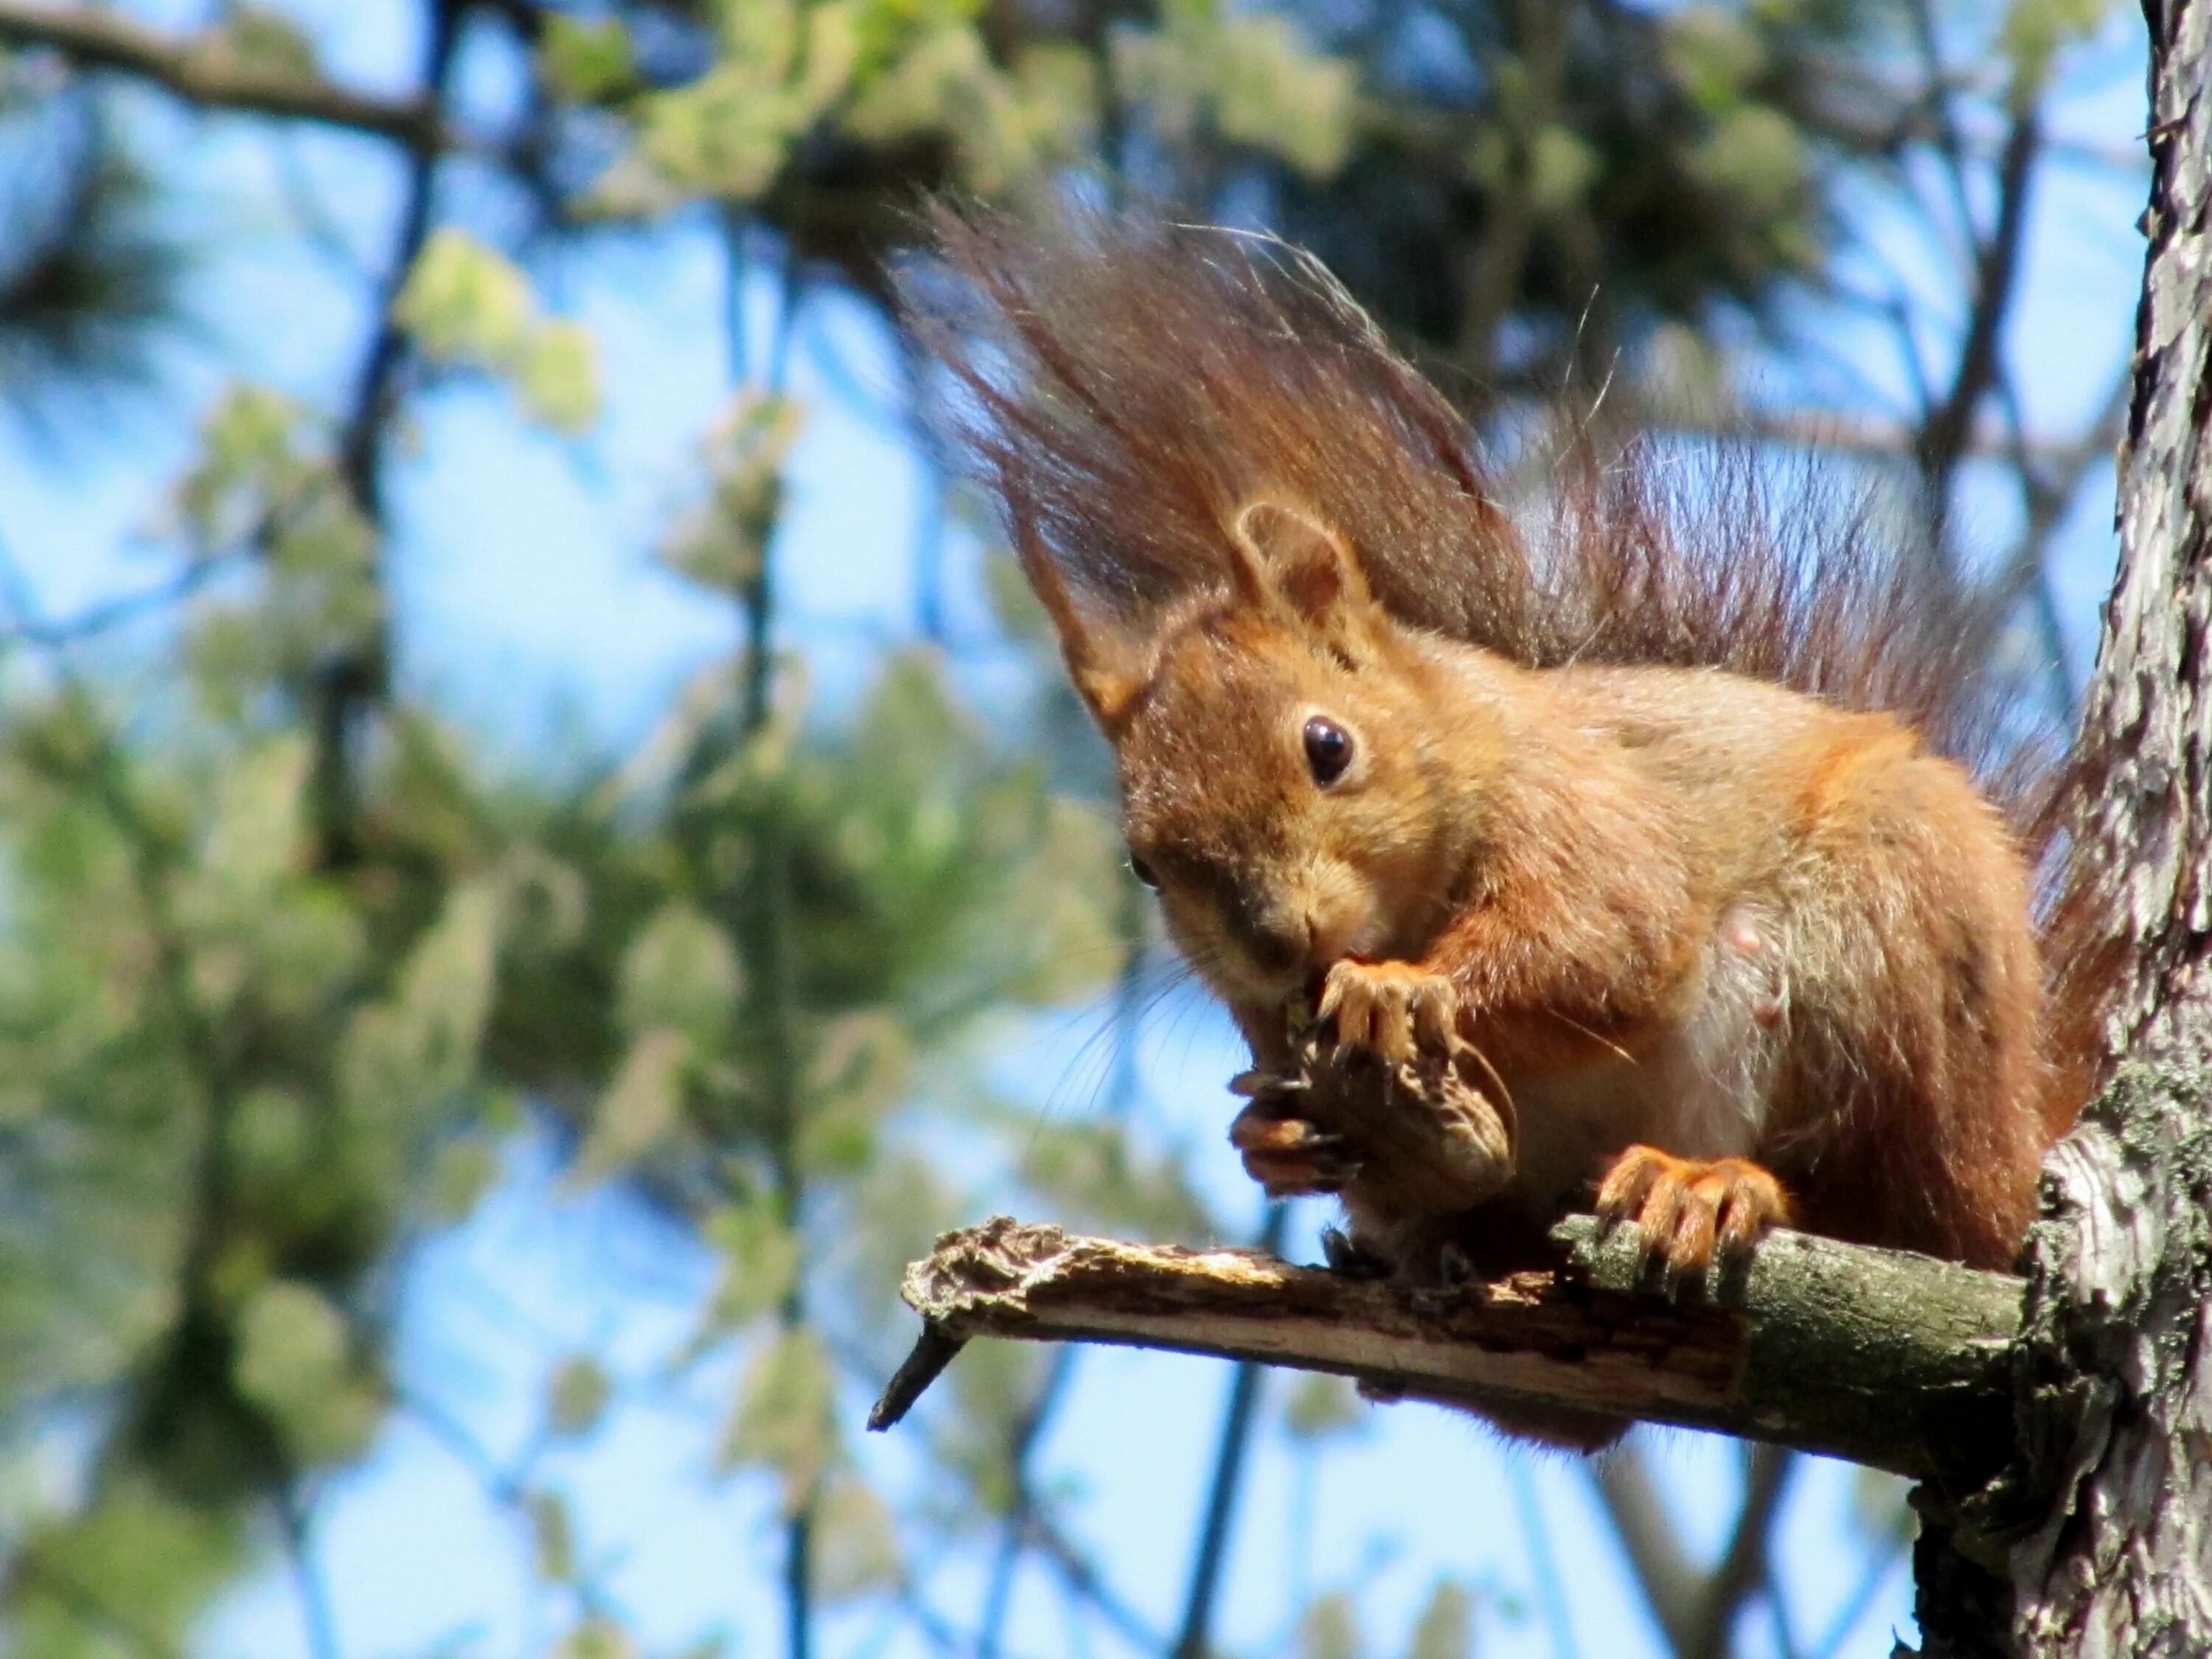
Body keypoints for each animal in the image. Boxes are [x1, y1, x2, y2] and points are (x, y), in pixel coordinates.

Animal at [894, 204, 2106, 1433]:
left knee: (1883, 1208)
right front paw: (1268, 1136)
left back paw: (1707, 1183)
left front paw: (1399, 988)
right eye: (1145, 865)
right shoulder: (1264, 1017)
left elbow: (1602, 942)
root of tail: (2016, 1149)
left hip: (1885, 942)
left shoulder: (1578, 806)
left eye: (1327, 747)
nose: (1279, 942)